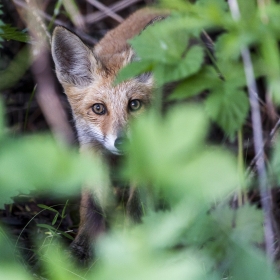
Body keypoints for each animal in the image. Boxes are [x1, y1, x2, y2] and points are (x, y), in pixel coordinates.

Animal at [51, 8, 166, 262]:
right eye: (98, 108)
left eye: (134, 105)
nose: (122, 143)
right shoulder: (90, 146)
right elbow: (92, 202)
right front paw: (84, 244)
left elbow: (137, 202)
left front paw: (135, 239)